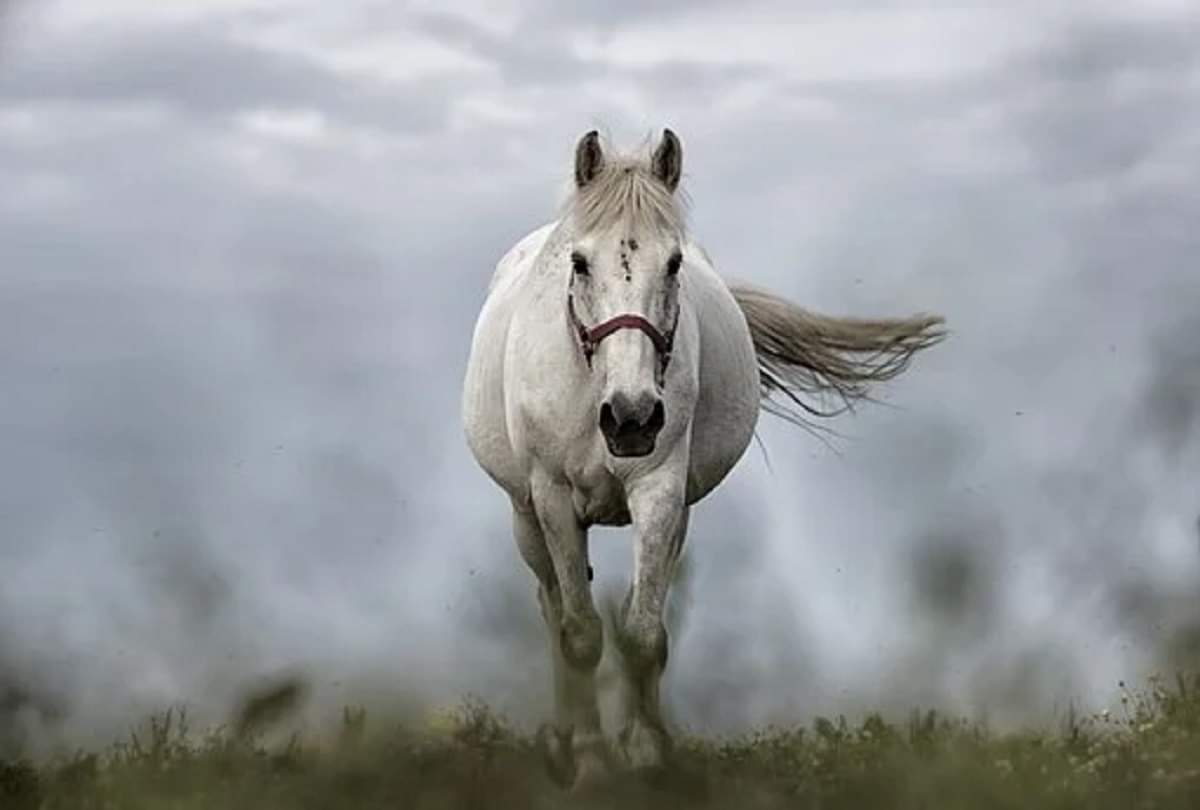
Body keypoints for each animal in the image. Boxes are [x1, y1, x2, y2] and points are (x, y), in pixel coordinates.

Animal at [461, 129, 945, 790]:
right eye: (580, 262)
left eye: (674, 263)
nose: (632, 417)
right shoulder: (553, 497)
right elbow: (580, 633)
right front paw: (589, 758)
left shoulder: (661, 492)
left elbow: (643, 632)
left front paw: (646, 752)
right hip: (525, 515)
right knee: (552, 607)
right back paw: (561, 740)